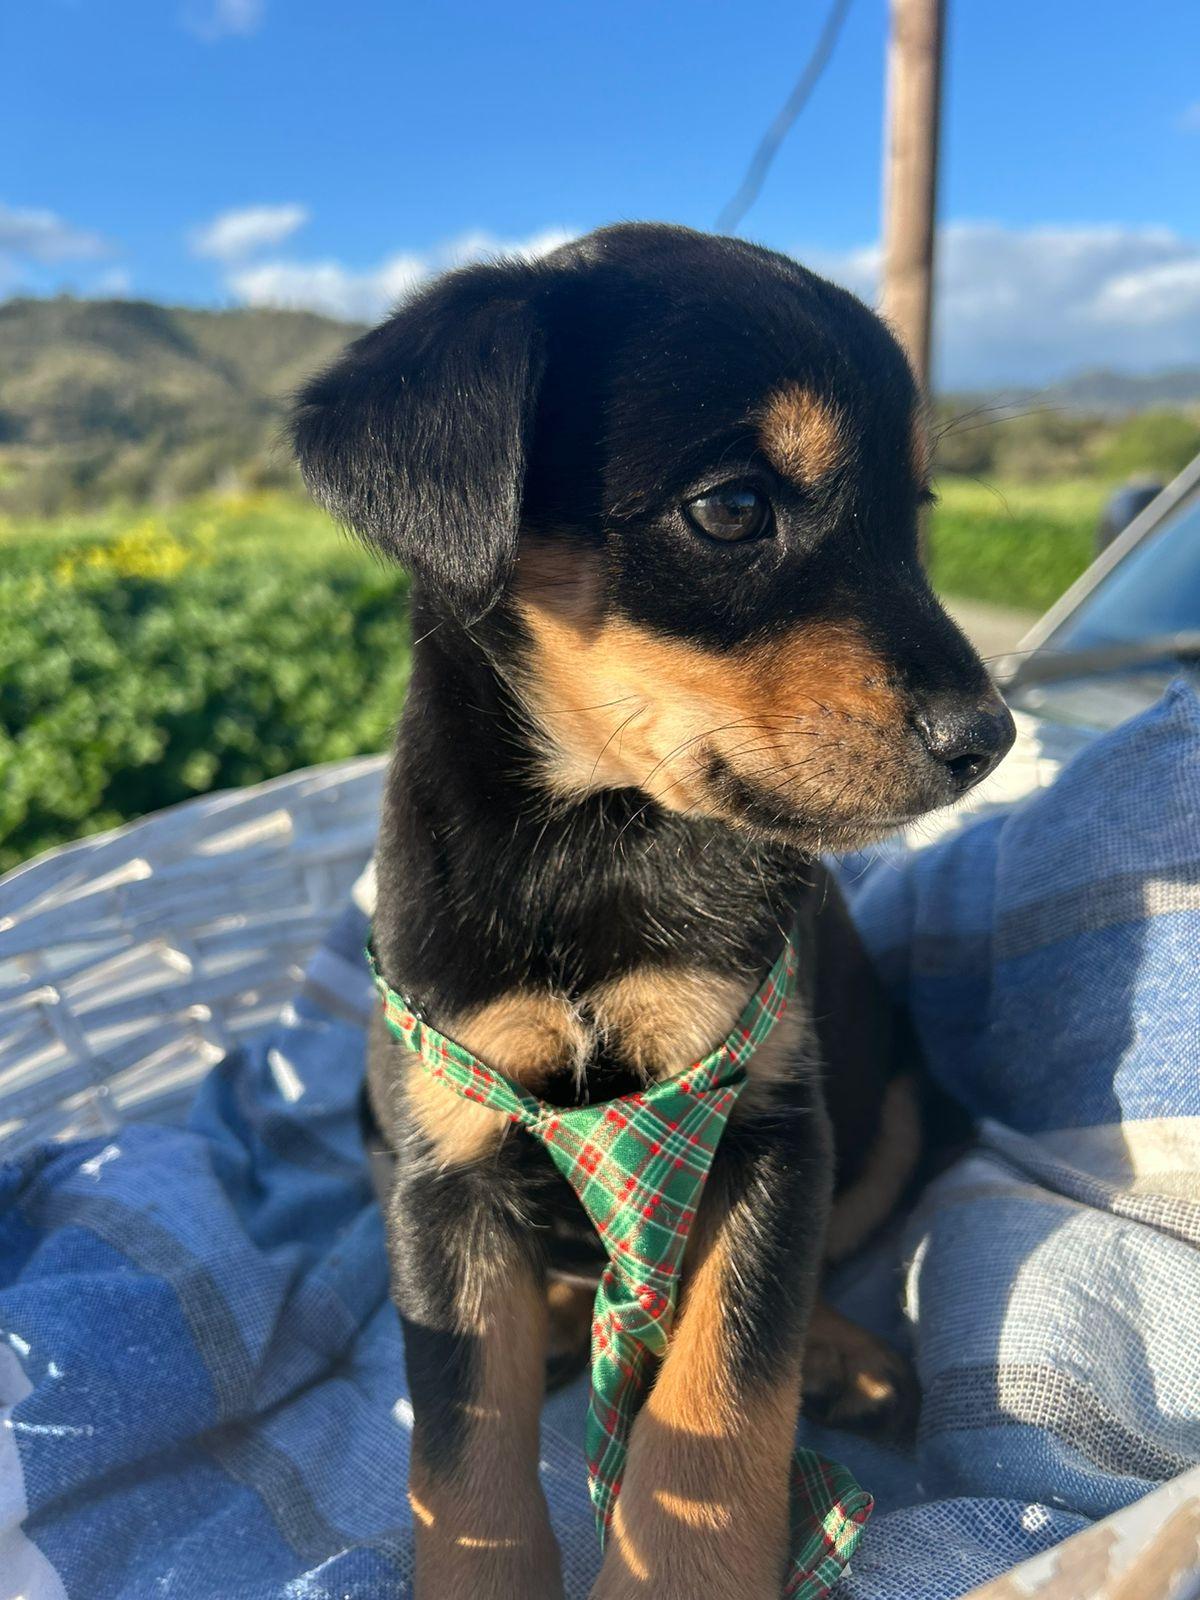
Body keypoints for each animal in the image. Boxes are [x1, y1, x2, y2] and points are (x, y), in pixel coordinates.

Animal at [292, 222, 1014, 1600]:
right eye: (732, 507)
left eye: (917, 517)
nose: (988, 739)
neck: (600, 843)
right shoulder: (443, 1161)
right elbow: (463, 1453)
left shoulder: (763, 1113)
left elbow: (717, 1398)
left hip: (890, 1105)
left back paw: (845, 1356)